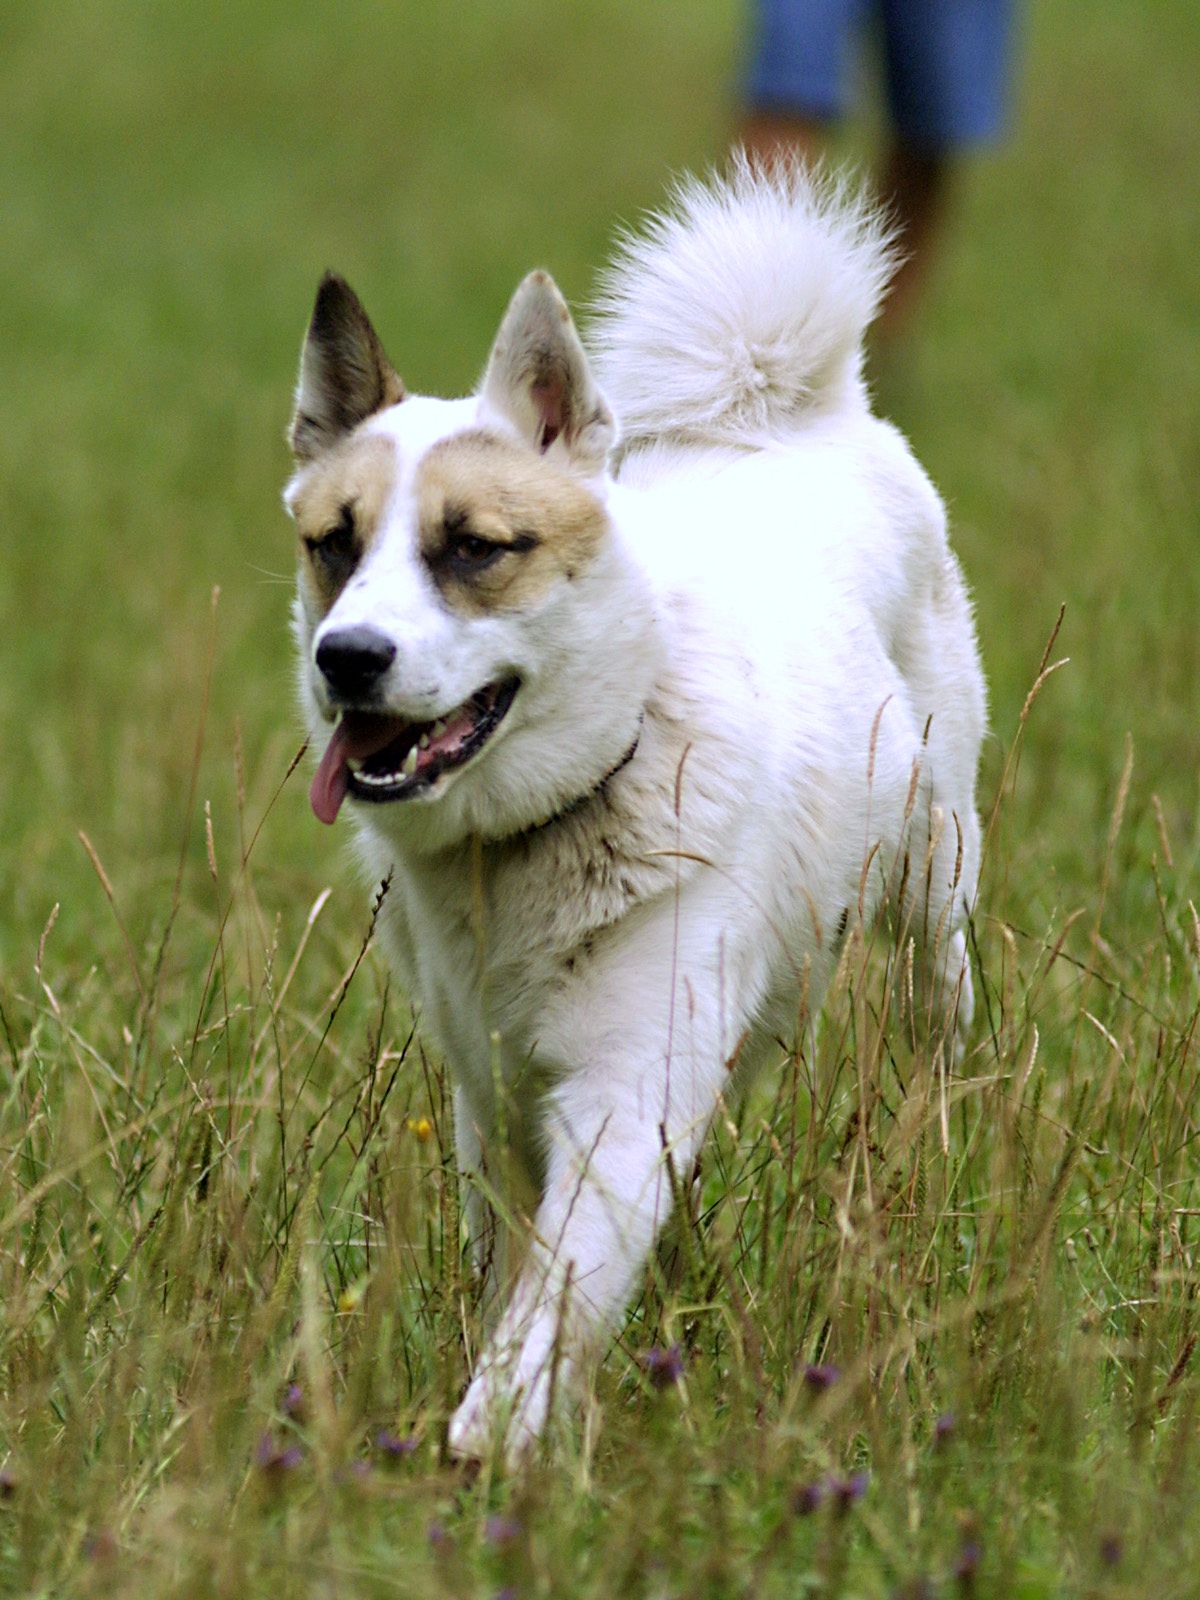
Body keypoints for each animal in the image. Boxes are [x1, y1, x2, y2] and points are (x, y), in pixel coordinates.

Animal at [281, 162, 985, 1465]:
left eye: (474, 548)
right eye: (333, 544)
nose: (346, 658)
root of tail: (797, 414)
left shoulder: (625, 1086)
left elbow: (555, 1297)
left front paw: (491, 1443)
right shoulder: (496, 1094)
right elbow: (516, 1267)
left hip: (933, 896)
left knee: (936, 1024)